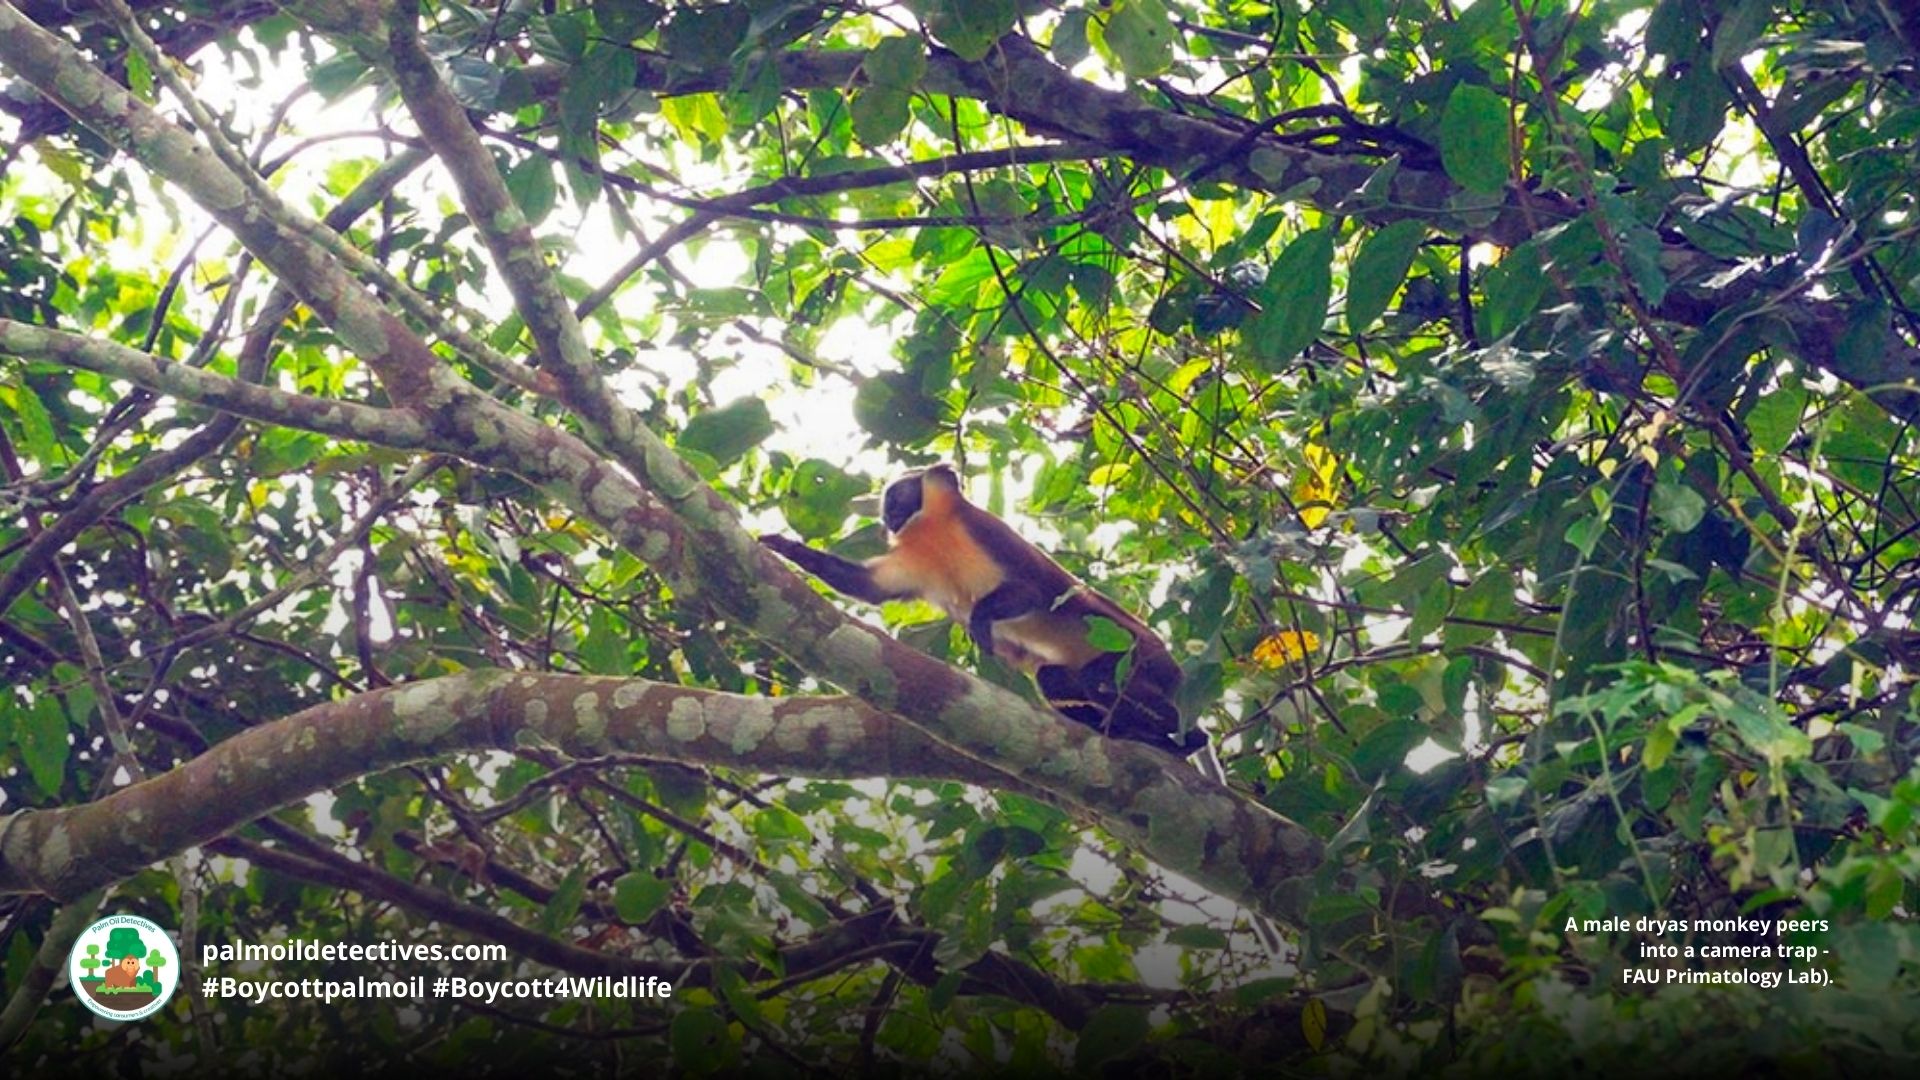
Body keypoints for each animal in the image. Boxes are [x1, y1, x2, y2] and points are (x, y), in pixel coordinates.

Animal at [759, 464, 1207, 757]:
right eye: (888, 503)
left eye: (899, 495)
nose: (888, 515)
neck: (935, 533)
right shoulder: (916, 565)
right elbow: (868, 588)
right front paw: (787, 548)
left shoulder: (985, 533)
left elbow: (1033, 592)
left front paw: (979, 622)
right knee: (1054, 678)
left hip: (1145, 658)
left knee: (1101, 679)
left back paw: (1188, 740)